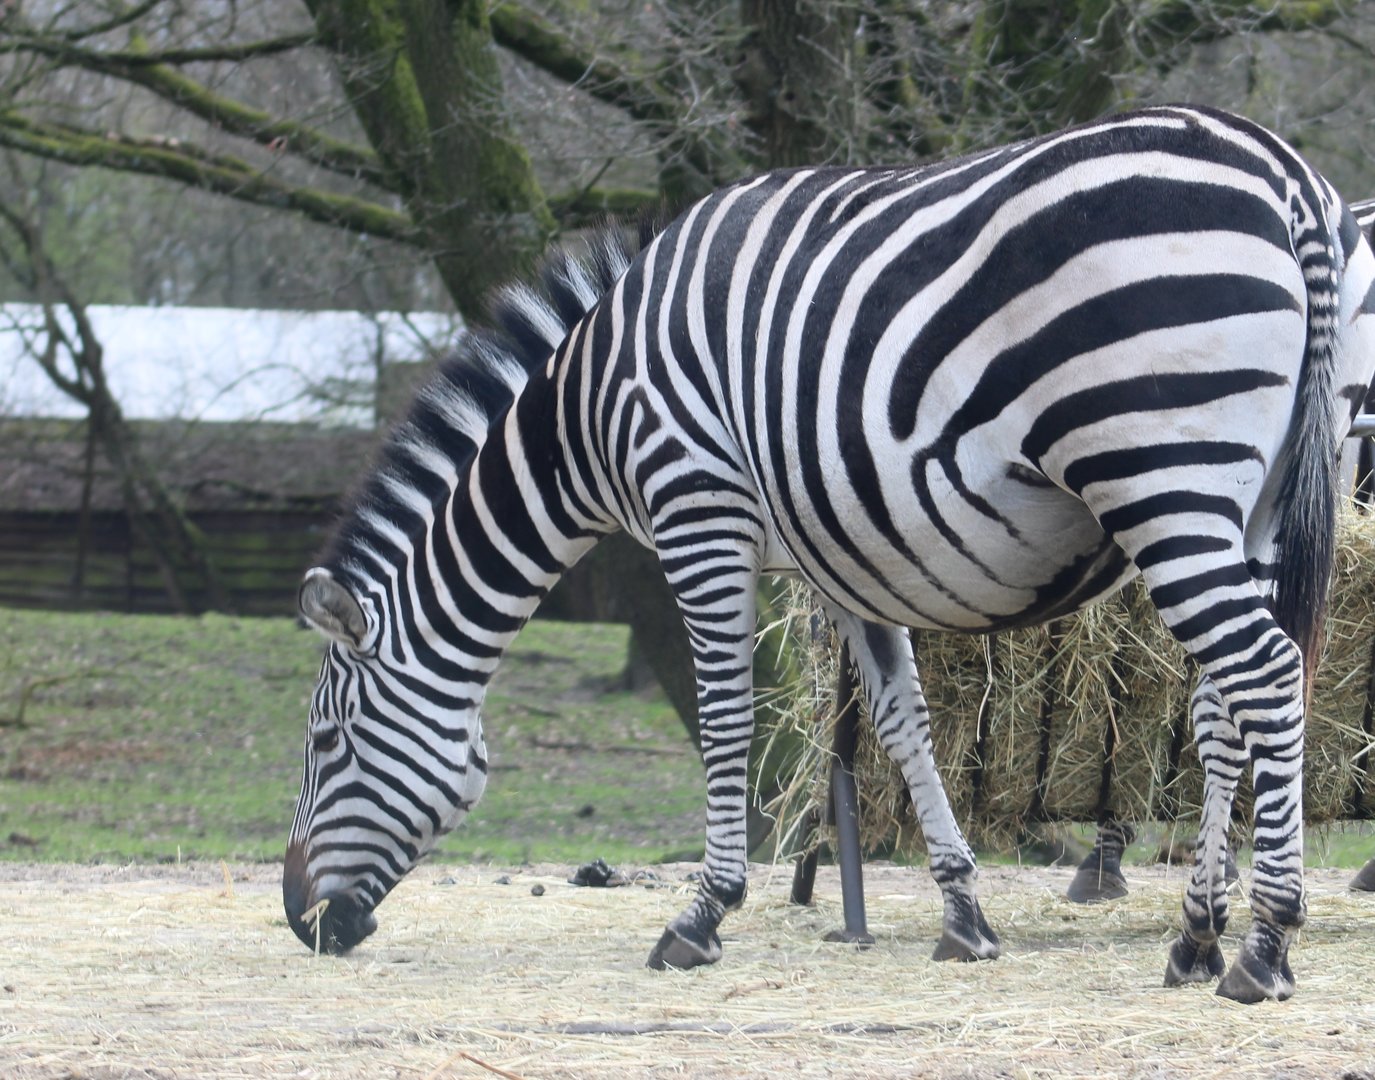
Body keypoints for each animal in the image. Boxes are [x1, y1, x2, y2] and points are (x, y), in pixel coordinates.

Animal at [282, 105, 1375, 1003]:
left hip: (1160, 474)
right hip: (1258, 498)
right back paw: (1195, 938)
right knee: (1225, 702)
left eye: (327, 742)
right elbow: (902, 722)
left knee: (1263, 673)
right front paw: (962, 916)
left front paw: (701, 915)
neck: (591, 409)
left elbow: (725, 719)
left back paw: (1264, 947)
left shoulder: (696, 509)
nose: (300, 925)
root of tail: (1286, 173)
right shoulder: (842, 557)